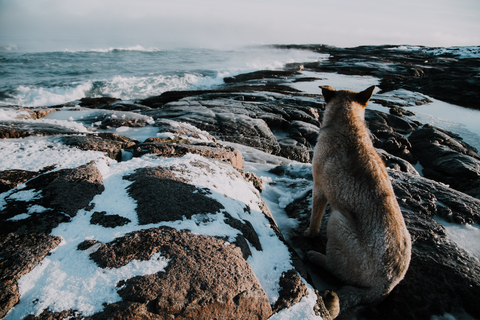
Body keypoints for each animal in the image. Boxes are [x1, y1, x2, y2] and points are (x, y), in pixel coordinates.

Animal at [304, 86, 412, 318]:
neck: (349, 123)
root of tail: (386, 285)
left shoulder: (319, 189)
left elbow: (315, 219)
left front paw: (308, 233)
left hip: (337, 221)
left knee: (335, 267)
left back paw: (316, 256)